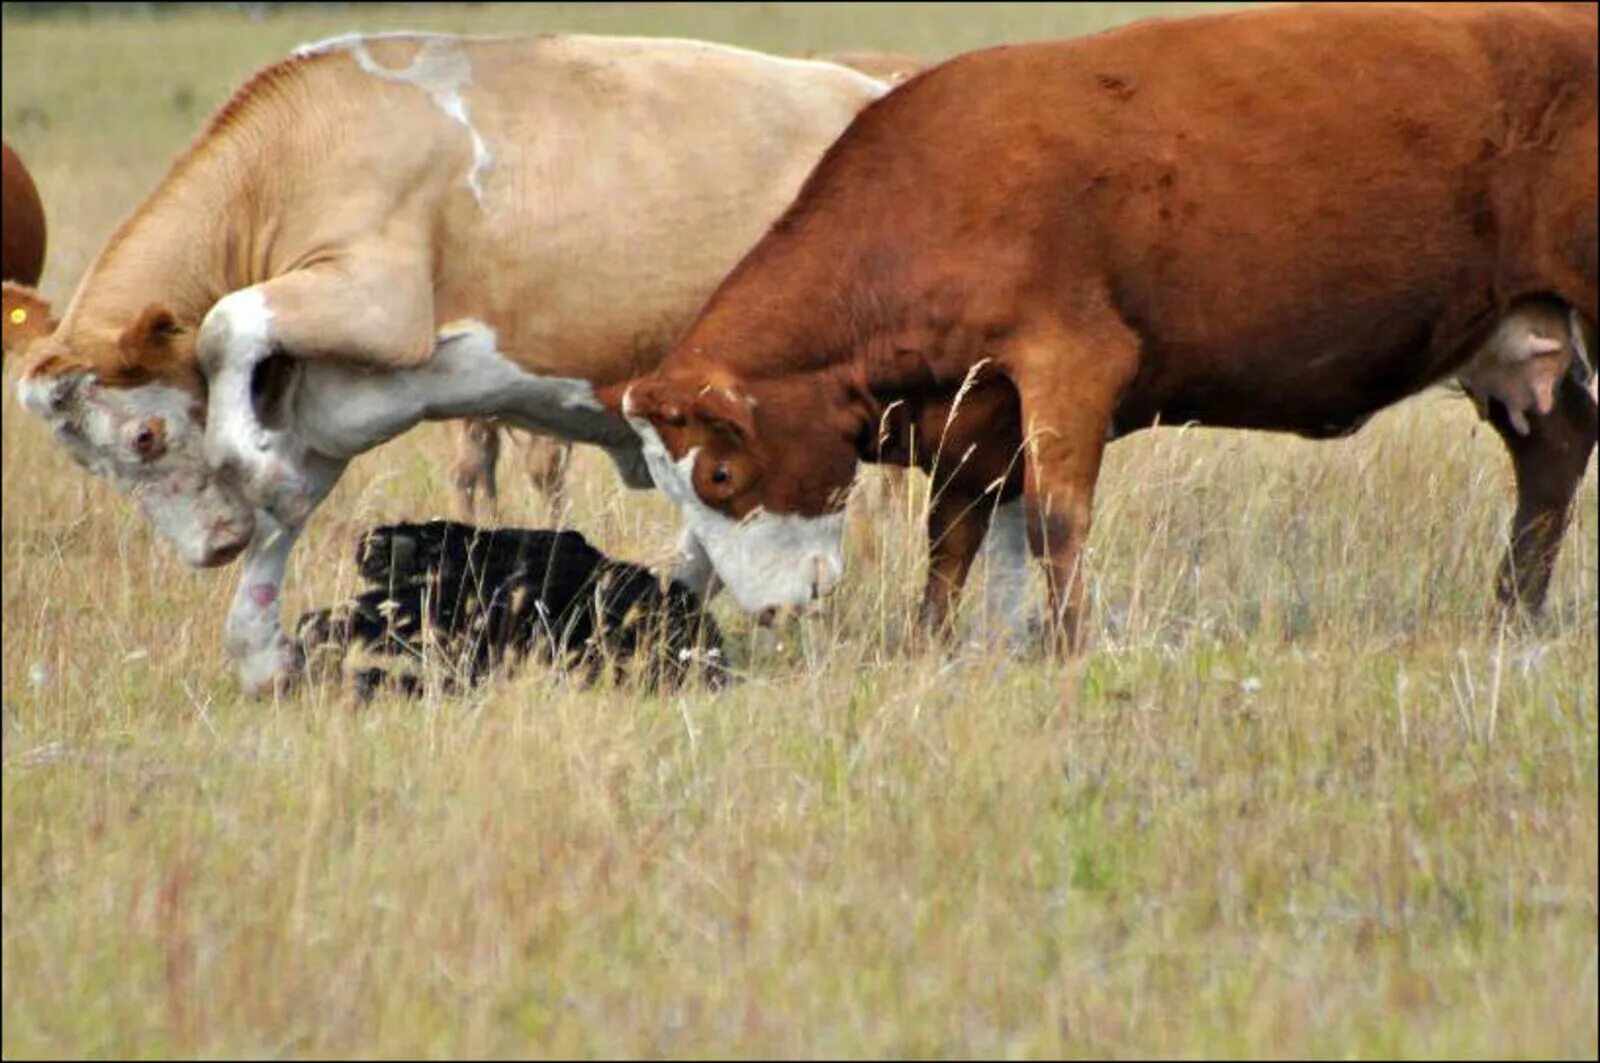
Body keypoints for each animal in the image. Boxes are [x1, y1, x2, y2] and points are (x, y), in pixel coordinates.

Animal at [15, 33, 889, 694]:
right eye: (90, 461)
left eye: (145, 437)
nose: (212, 547)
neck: (295, 162)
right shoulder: (326, 405)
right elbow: (282, 524)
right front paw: (266, 655)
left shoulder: (380, 305)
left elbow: (228, 324)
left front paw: (253, 473)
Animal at [608, 4, 1587, 646]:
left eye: (722, 472)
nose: (771, 611)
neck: (936, 187)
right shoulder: (970, 416)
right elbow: (949, 539)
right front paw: (928, 644)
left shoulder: (1070, 362)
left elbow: (1053, 518)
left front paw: (1072, 645)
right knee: (1554, 455)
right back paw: (1512, 616)